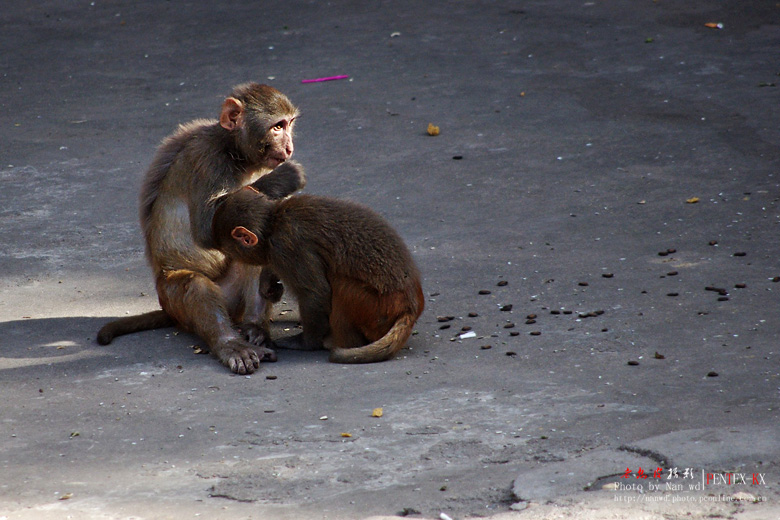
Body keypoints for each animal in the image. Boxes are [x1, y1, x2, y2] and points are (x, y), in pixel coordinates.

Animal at [97, 82, 304, 374]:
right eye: (277, 126)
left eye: (289, 124)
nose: (288, 148)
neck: (235, 152)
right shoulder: (208, 160)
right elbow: (207, 228)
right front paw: (285, 177)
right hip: (174, 298)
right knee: (197, 286)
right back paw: (230, 345)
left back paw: (255, 329)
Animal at [210, 186, 424, 362]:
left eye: (229, 252)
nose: (229, 258)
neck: (274, 222)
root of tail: (411, 306)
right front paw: (268, 279)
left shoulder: (286, 246)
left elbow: (315, 293)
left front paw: (306, 342)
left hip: (375, 308)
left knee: (340, 284)